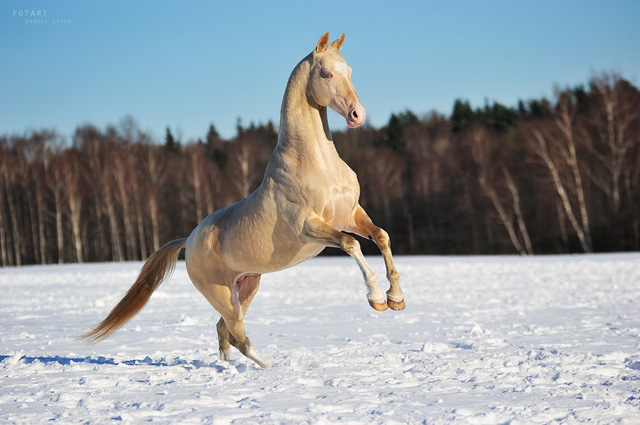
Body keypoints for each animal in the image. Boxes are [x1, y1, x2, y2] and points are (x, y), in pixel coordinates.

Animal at [85, 32, 404, 368]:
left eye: (350, 71)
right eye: (326, 73)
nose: (358, 115)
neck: (318, 163)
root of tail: (189, 240)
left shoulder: (352, 214)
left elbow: (381, 236)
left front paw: (396, 299)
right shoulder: (308, 227)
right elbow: (351, 244)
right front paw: (376, 298)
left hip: (247, 286)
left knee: (223, 330)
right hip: (223, 296)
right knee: (238, 336)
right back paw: (268, 368)